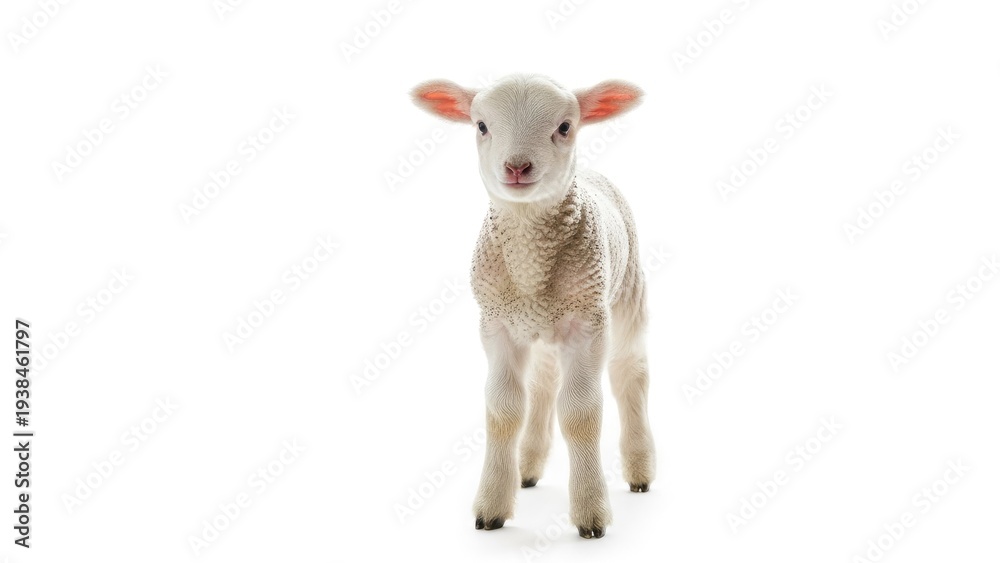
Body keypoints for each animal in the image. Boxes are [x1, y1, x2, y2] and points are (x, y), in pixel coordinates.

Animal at [410, 74, 655, 539]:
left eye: (564, 127)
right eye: (481, 126)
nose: (517, 167)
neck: (530, 263)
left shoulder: (588, 322)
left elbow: (581, 413)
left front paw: (591, 513)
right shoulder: (497, 324)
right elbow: (503, 411)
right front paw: (491, 507)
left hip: (628, 293)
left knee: (629, 375)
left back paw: (640, 470)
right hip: (541, 327)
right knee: (542, 384)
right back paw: (527, 468)